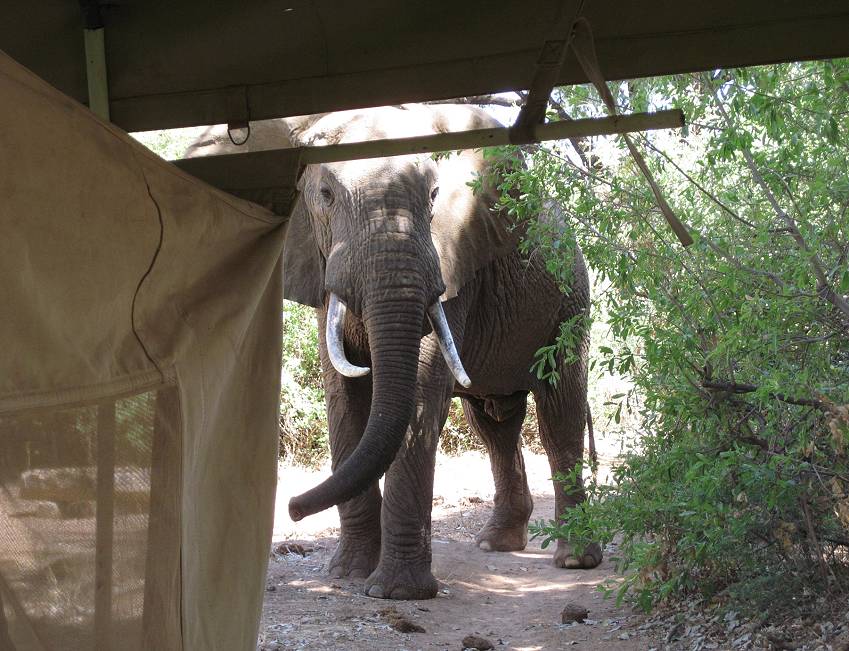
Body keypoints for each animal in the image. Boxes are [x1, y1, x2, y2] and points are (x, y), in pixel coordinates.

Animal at [187, 105, 596, 600]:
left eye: (435, 195)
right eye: (325, 195)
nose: (292, 507)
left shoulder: (452, 261)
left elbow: (420, 388)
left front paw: (396, 592)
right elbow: (342, 393)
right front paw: (348, 573)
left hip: (570, 299)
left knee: (559, 412)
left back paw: (574, 559)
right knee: (494, 423)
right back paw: (495, 544)